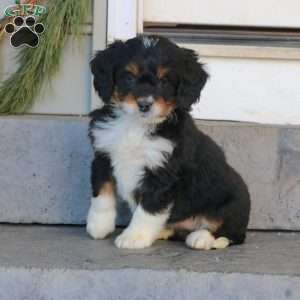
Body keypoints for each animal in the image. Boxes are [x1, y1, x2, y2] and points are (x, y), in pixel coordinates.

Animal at [86, 35, 251, 250]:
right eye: (129, 77)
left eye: (164, 81)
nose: (144, 105)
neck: (136, 125)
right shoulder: (103, 156)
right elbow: (102, 193)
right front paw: (98, 226)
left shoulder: (162, 172)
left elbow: (148, 208)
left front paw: (134, 237)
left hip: (233, 205)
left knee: (230, 233)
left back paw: (202, 238)